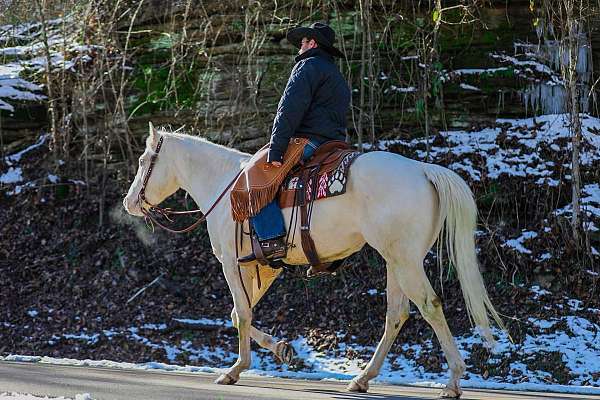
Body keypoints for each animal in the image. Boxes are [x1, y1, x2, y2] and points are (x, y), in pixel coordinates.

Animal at [123, 123, 506, 398]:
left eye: (143, 162)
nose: (129, 202)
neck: (223, 185)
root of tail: (423, 170)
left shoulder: (231, 263)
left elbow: (242, 313)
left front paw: (235, 369)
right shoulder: (260, 268)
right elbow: (238, 313)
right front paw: (281, 349)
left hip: (405, 262)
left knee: (429, 306)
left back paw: (452, 382)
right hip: (395, 261)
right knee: (397, 314)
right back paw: (362, 378)